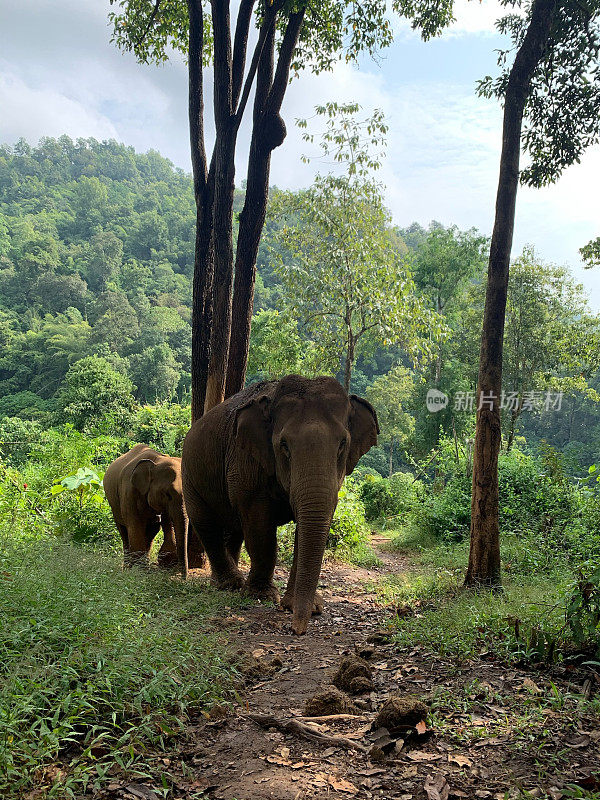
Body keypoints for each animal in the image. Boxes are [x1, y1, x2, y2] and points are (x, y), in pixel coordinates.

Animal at [103, 444, 204, 576]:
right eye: (168, 494)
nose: (184, 577)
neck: (157, 460)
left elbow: (166, 522)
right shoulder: (129, 492)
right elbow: (135, 526)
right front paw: (138, 571)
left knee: (151, 530)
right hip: (114, 506)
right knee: (123, 531)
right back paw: (128, 567)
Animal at [183, 374, 380, 632]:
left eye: (342, 444)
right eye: (283, 444)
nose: (297, 630)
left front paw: (301, 605)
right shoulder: (245, 463)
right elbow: (260, 529)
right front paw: (262, 596)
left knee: (234, 529)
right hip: (189, 475)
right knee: (206, 524)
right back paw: (230, 584)